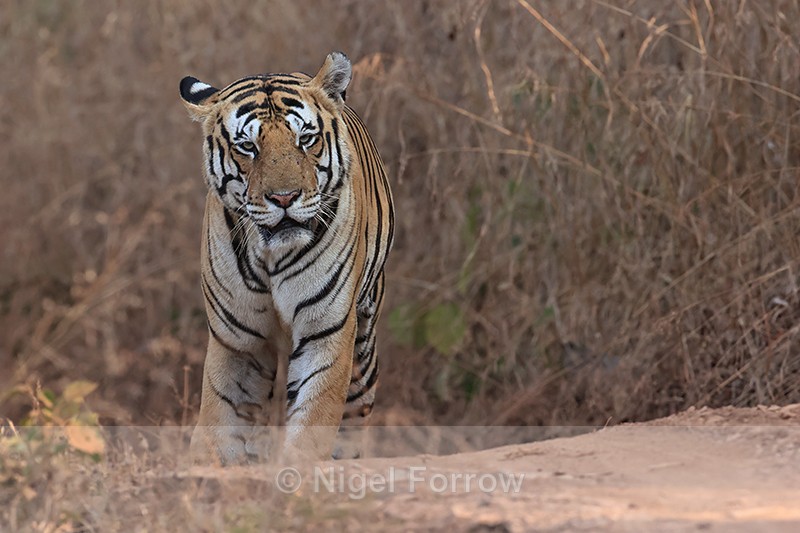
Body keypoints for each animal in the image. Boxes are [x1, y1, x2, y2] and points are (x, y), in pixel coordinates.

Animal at [179, 52, 394, 464]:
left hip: (364, 339)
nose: (284, 198)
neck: (270, 254)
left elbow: (313, 418)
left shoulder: (323, 329)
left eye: (305, 140)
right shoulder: (238, 340)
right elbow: (223, 412)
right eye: (248, 147)